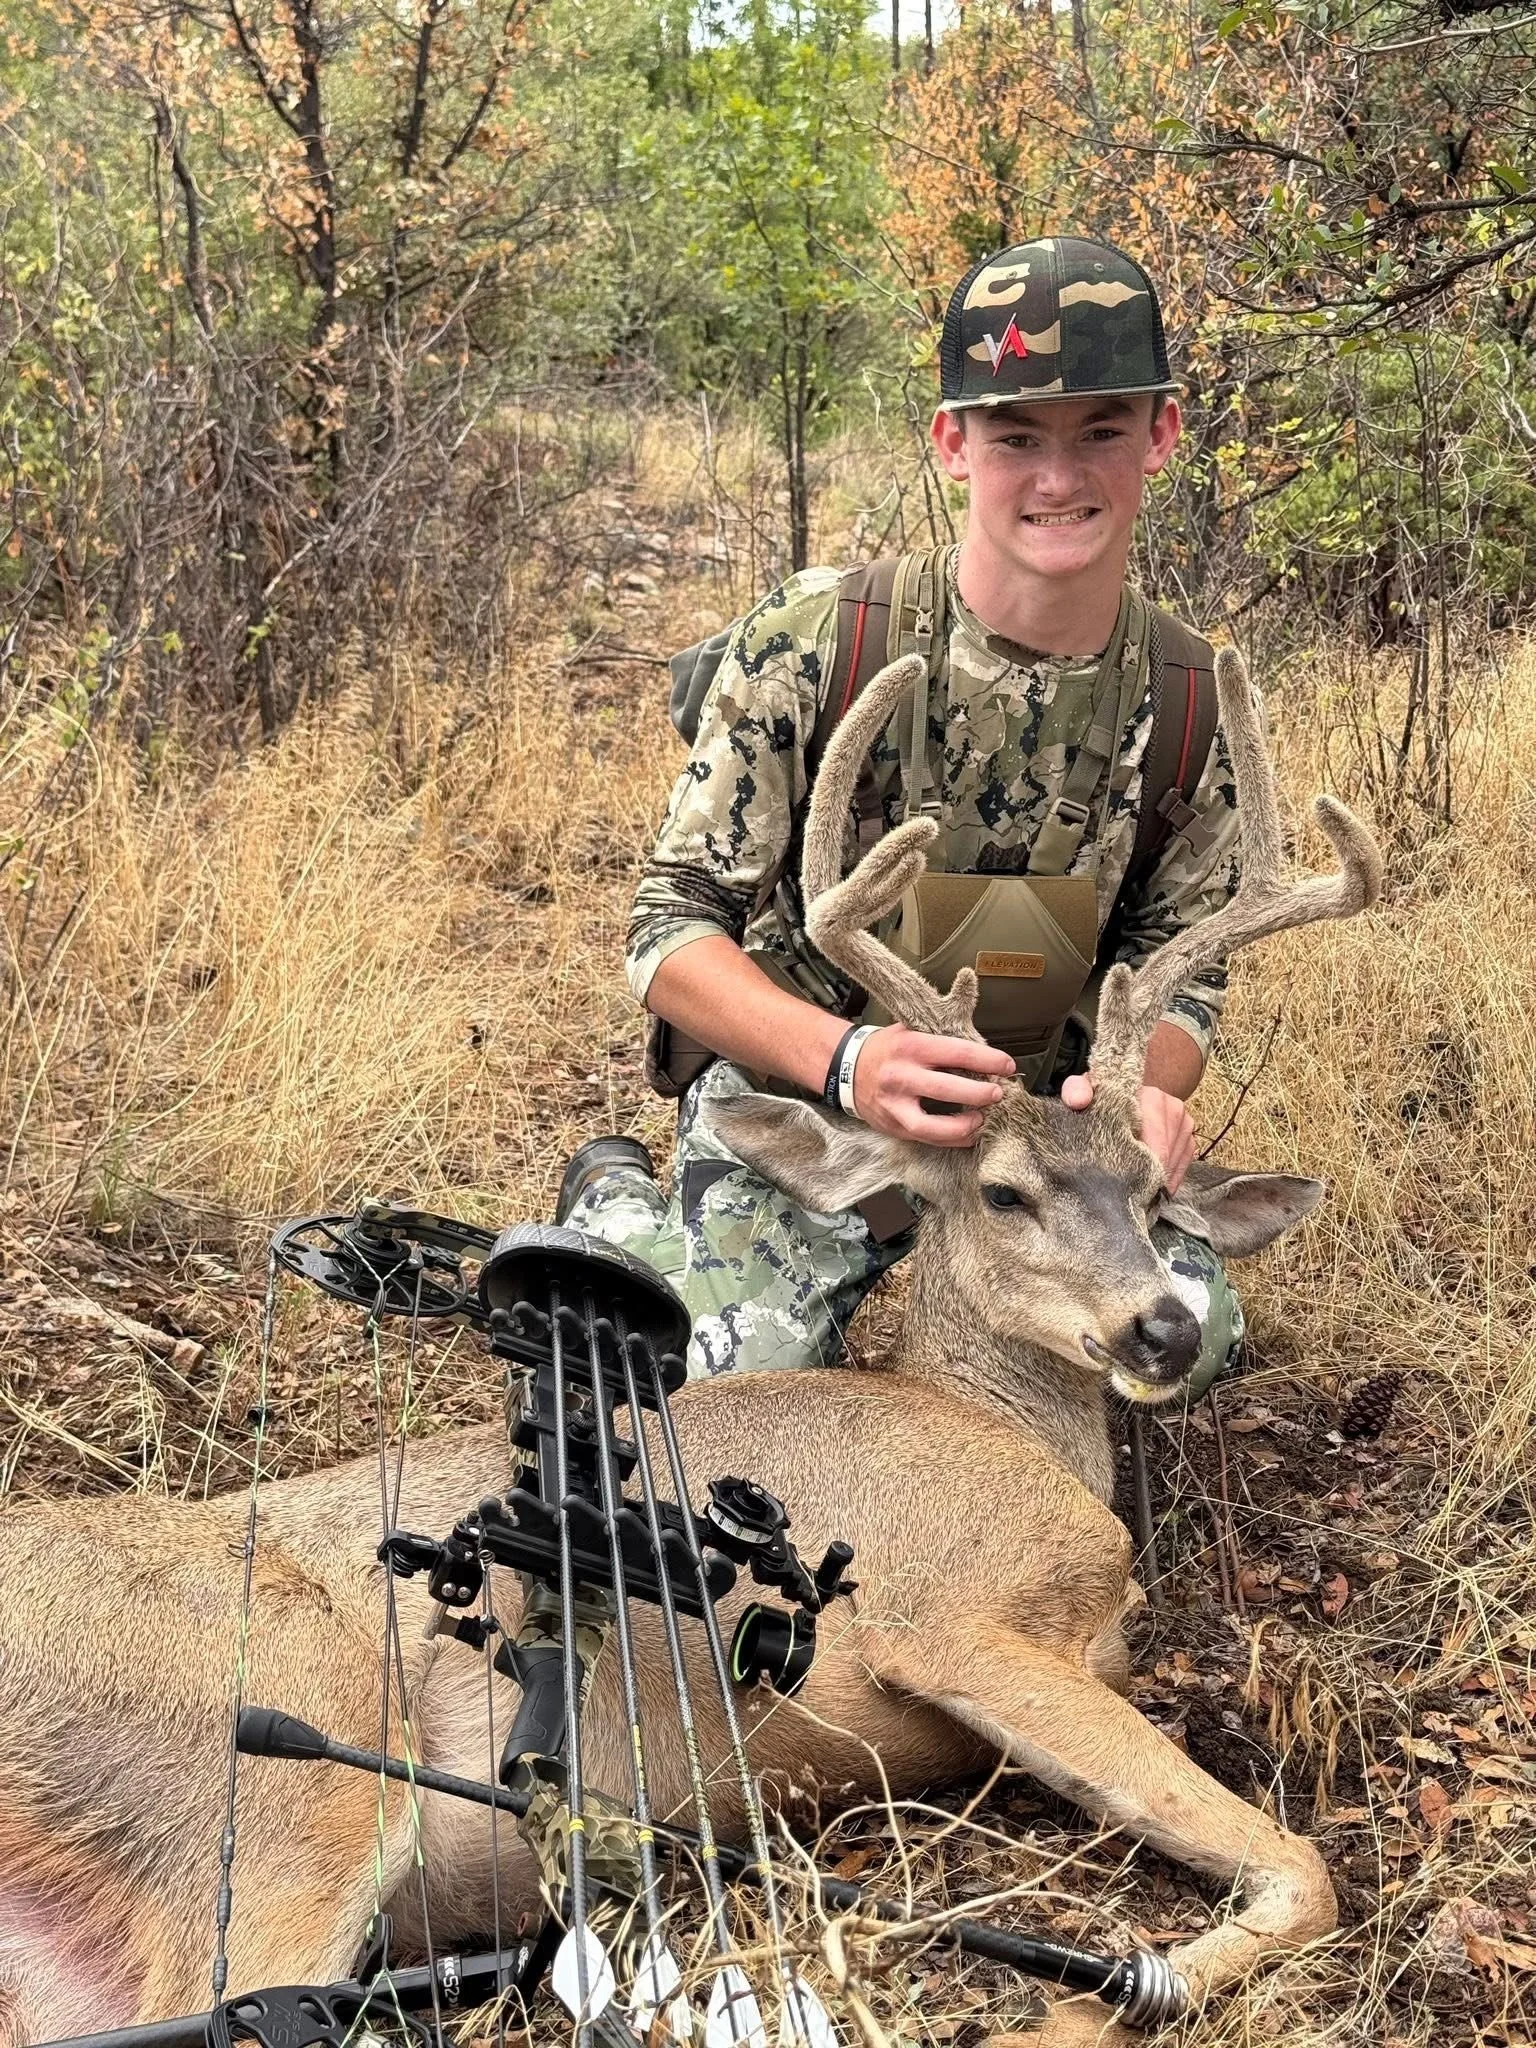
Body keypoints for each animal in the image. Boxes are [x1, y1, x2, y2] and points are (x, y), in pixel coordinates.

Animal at [0, 643, 1381, 2048]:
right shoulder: (957, 1612)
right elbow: (1302, 1864)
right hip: (280, 1784)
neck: (1004, 1426)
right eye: (1003, 1191)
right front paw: (1090, 2000)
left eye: (1157, 1193)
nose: (1162, 1322)